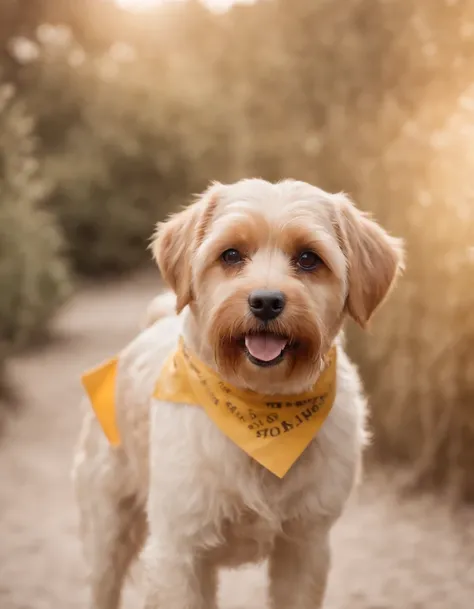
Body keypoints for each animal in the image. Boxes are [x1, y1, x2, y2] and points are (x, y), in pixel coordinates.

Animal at [73, 178, 404, 604]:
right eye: (231, 254)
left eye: (308, 259)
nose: (265, 301)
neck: (259, 408)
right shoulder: (177, 551)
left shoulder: (306, 547)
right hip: (106, 538)